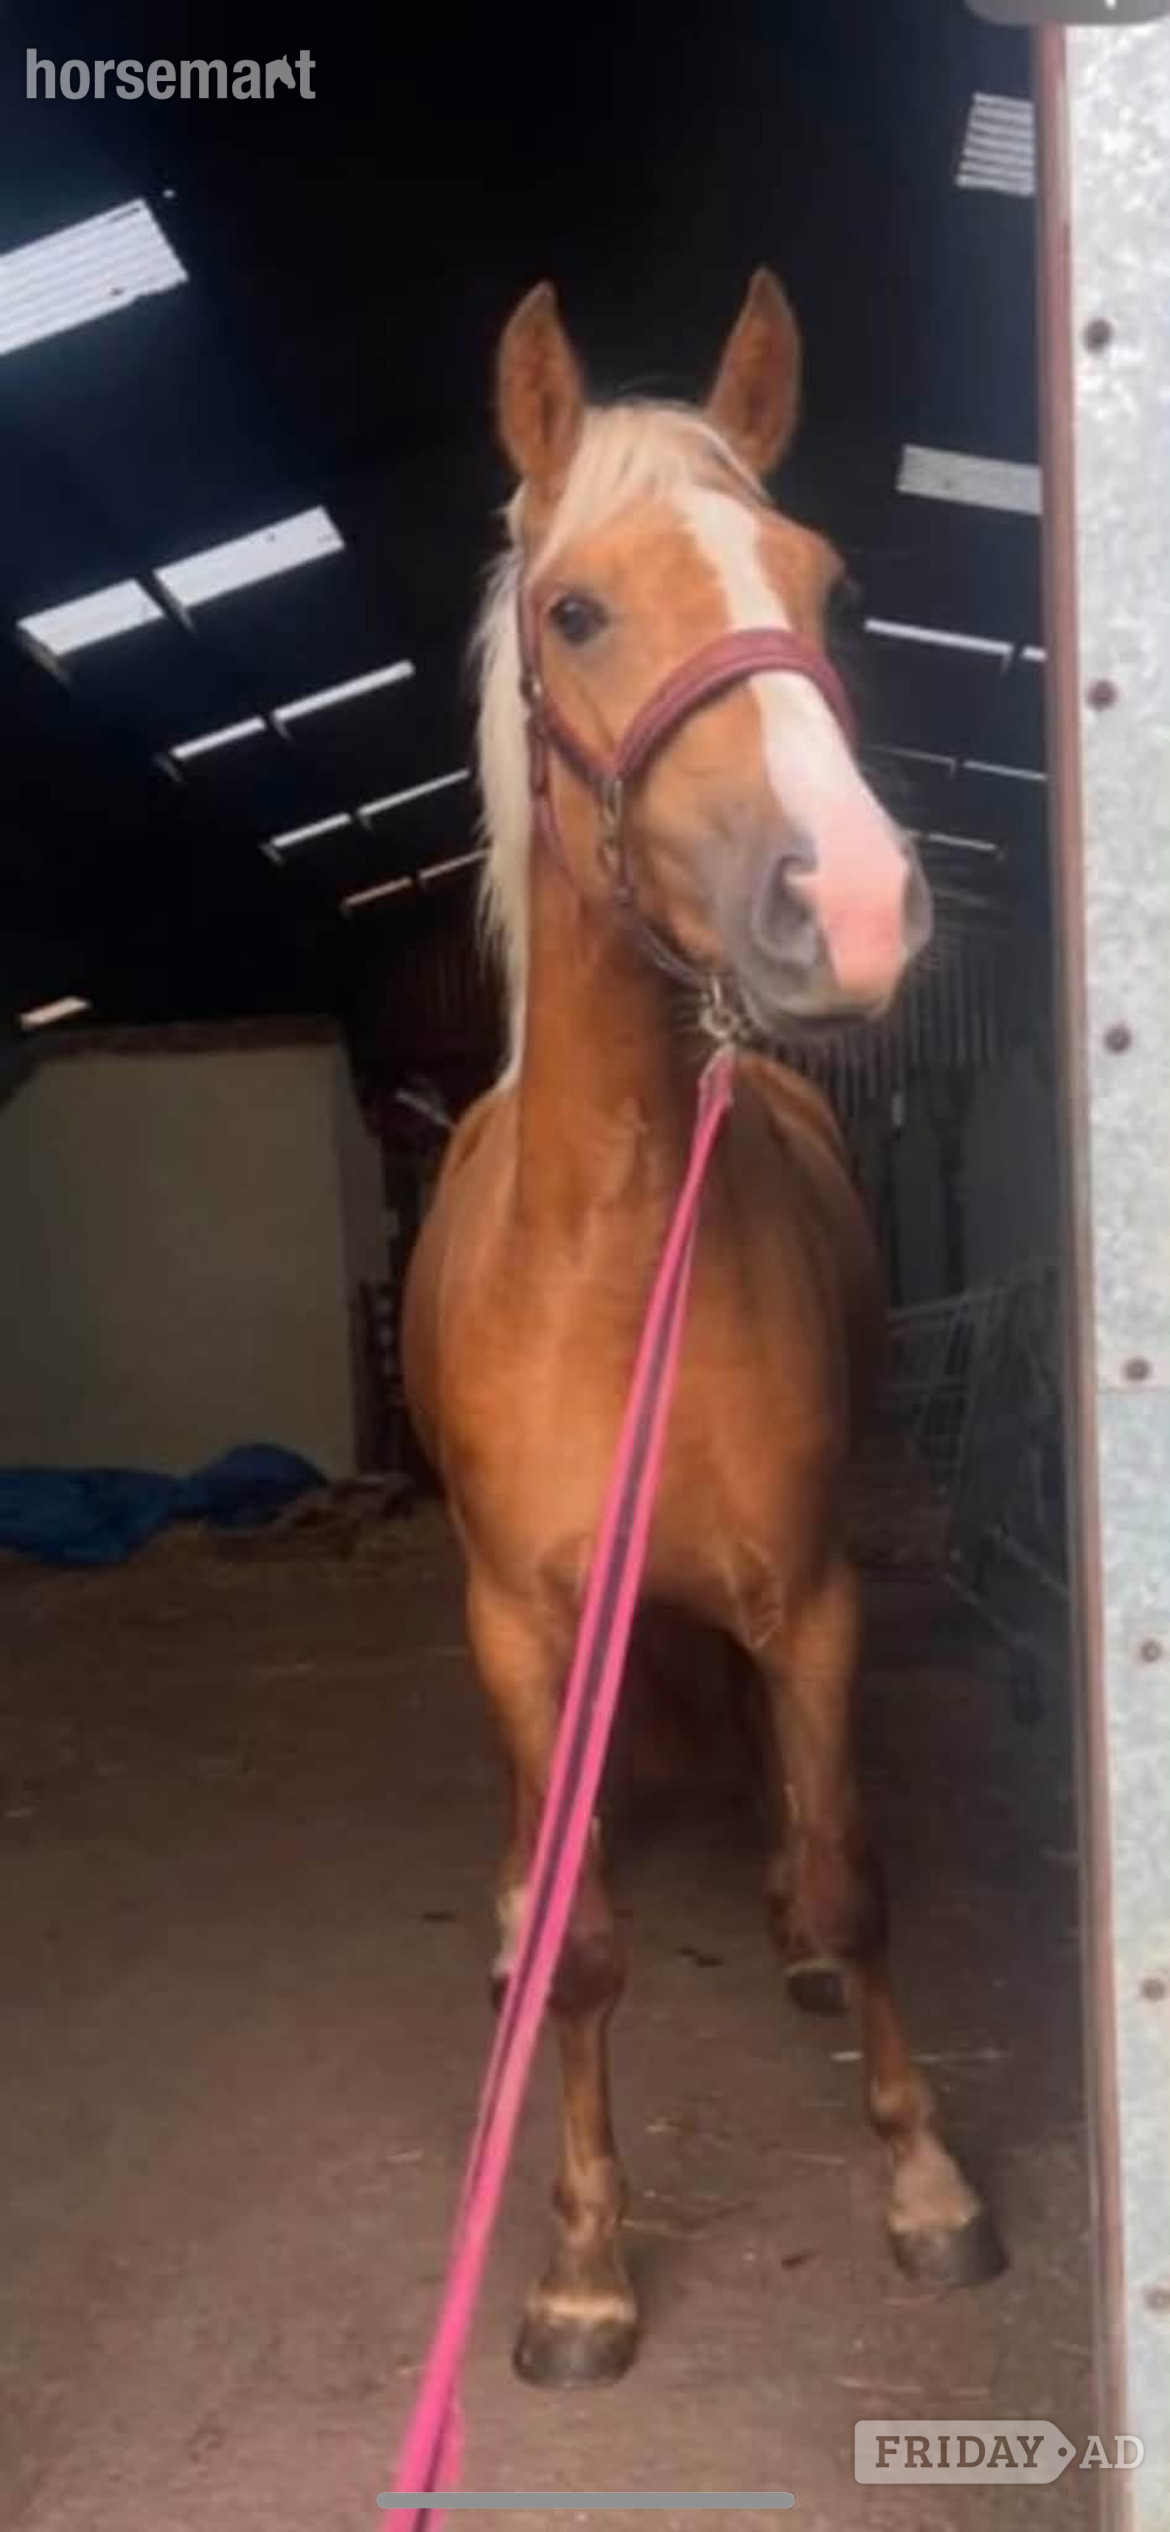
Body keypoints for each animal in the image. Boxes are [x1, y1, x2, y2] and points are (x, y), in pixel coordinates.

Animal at [402, 268, 1003, 2390]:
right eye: (578, 608)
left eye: (829, 589)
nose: (859, 901)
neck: (603, 1255)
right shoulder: (524, 1623)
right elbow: (589, 1944)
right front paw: (582, 2263)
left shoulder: (808, 1594)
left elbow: (860, 1869)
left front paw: (927, 2182)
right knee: (544, 1850)